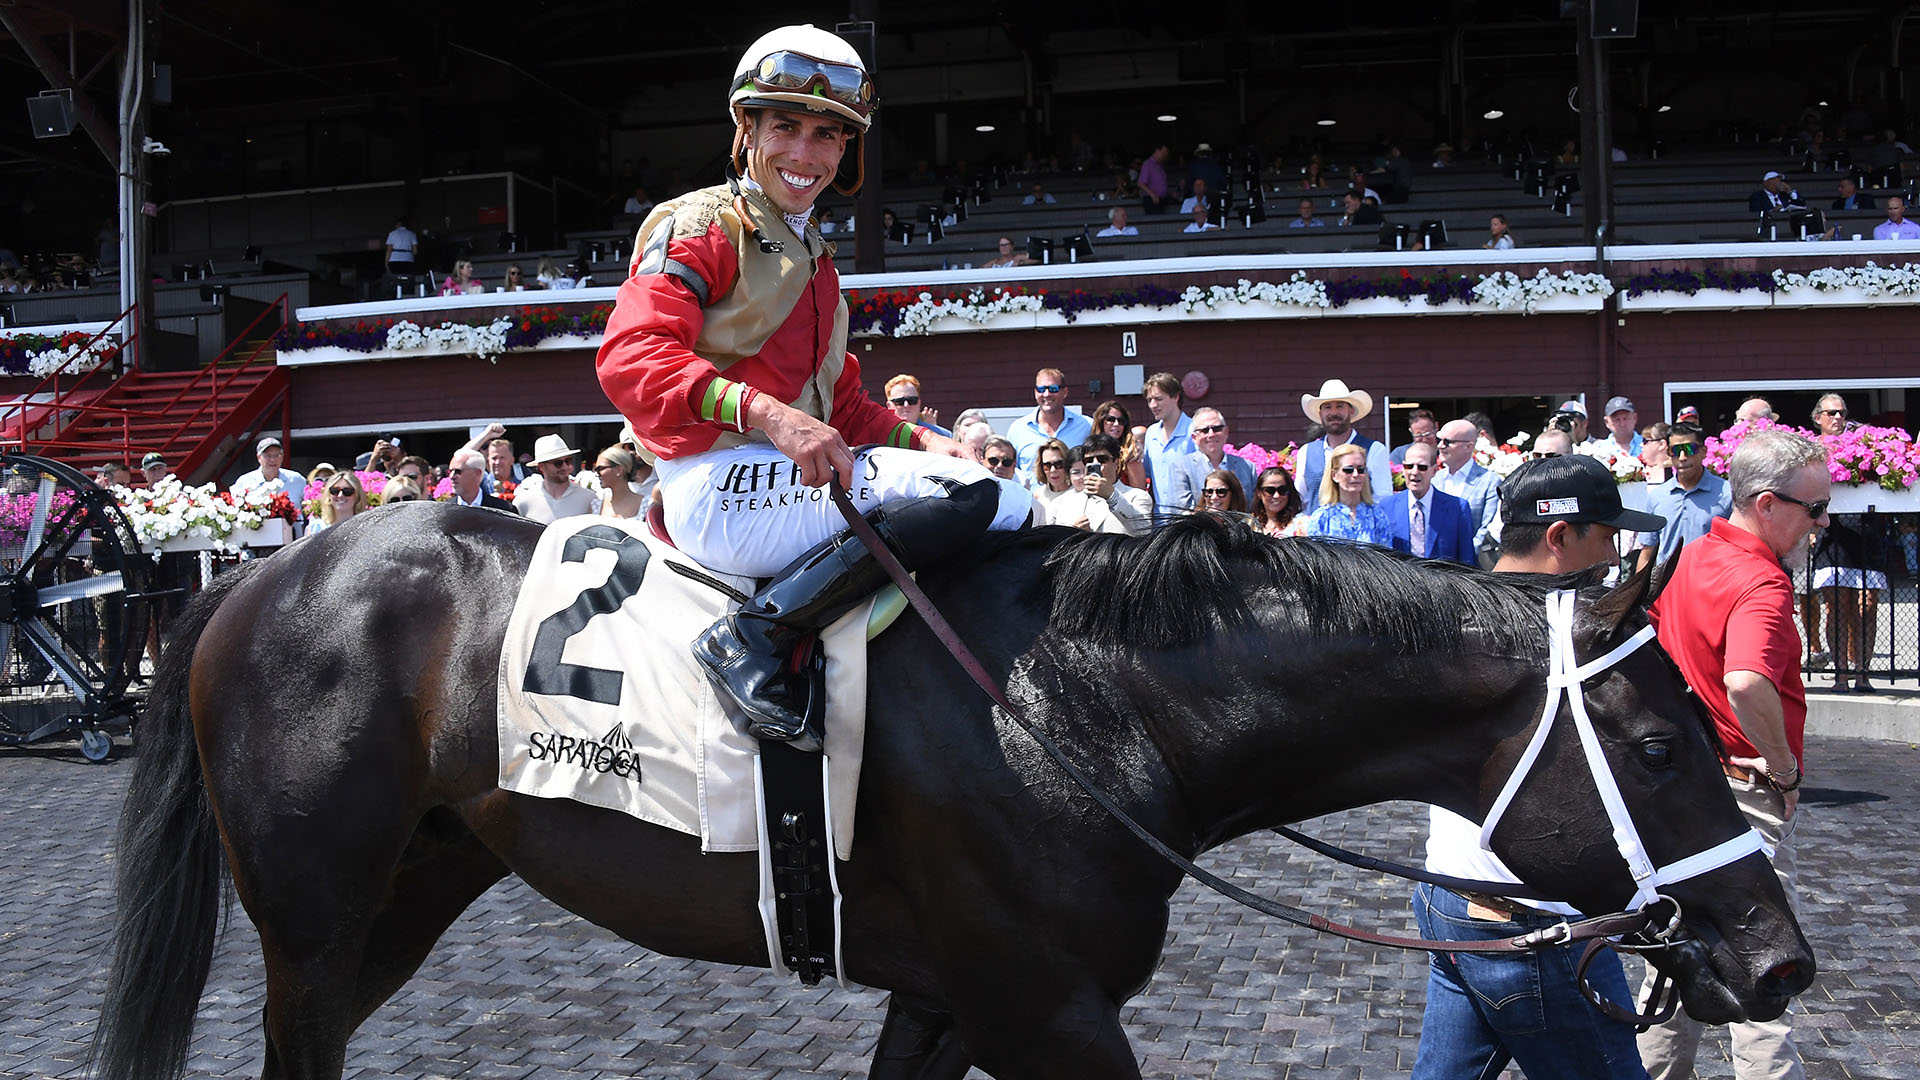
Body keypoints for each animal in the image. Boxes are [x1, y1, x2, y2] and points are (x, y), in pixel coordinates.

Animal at [93, 507, 1812, 1076]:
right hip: (317, 916)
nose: (1779, 958)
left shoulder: (943, 998)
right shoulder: (1045, 1010)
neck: (1084, 711)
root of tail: (260, 569)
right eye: (1662, 748)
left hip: (418, 883)